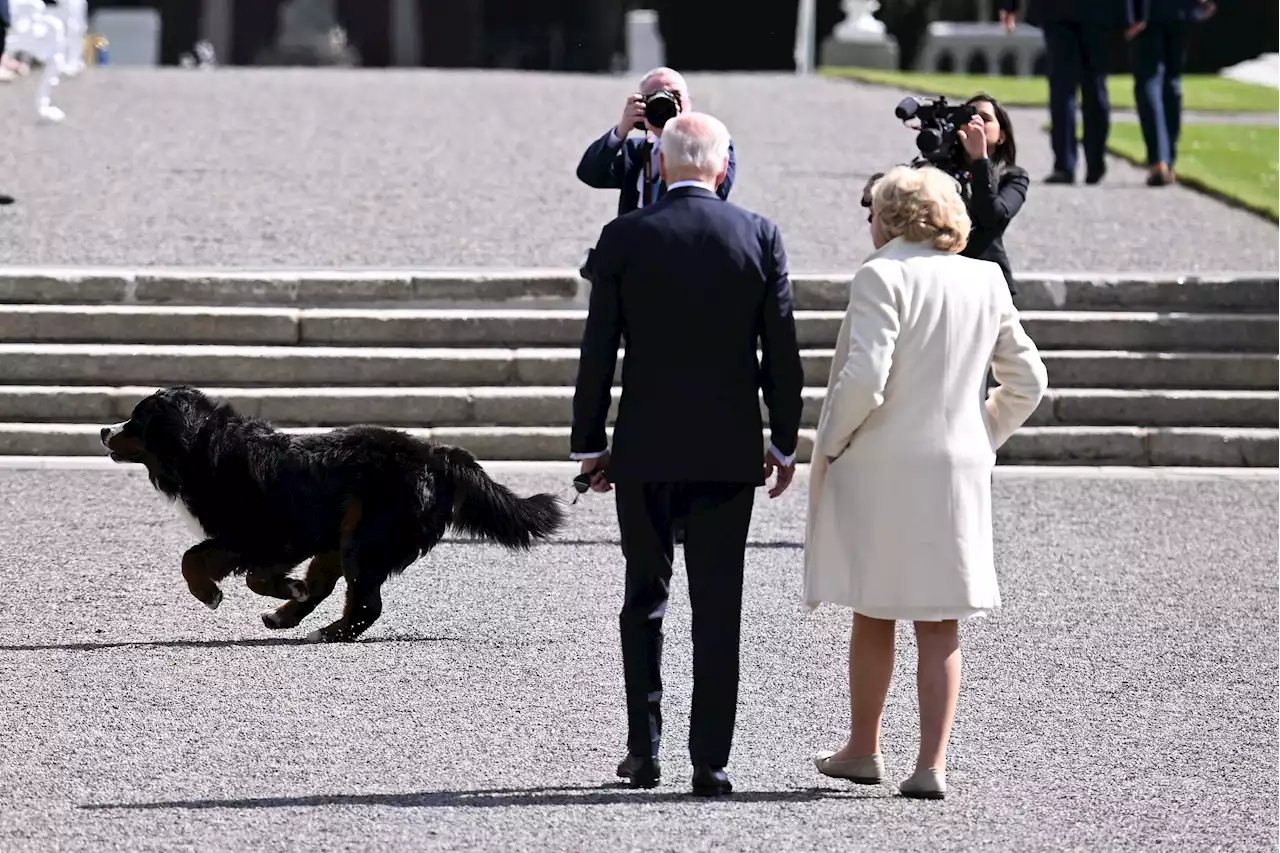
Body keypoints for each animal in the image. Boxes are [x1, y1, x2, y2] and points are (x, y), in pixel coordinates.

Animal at [107, 384, 568, 637]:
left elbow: (203, 563)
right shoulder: (260, 538)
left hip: (366, 536)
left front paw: (214, 594)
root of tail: (436, 454)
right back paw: (286, 617)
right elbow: (214, 562)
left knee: (365, 604)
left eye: (136, 420)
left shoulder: (269, 533)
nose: (103, 430)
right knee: (333, 587)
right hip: (344, 536)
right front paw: (284, 591)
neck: (204, 448)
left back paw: (323, 632)